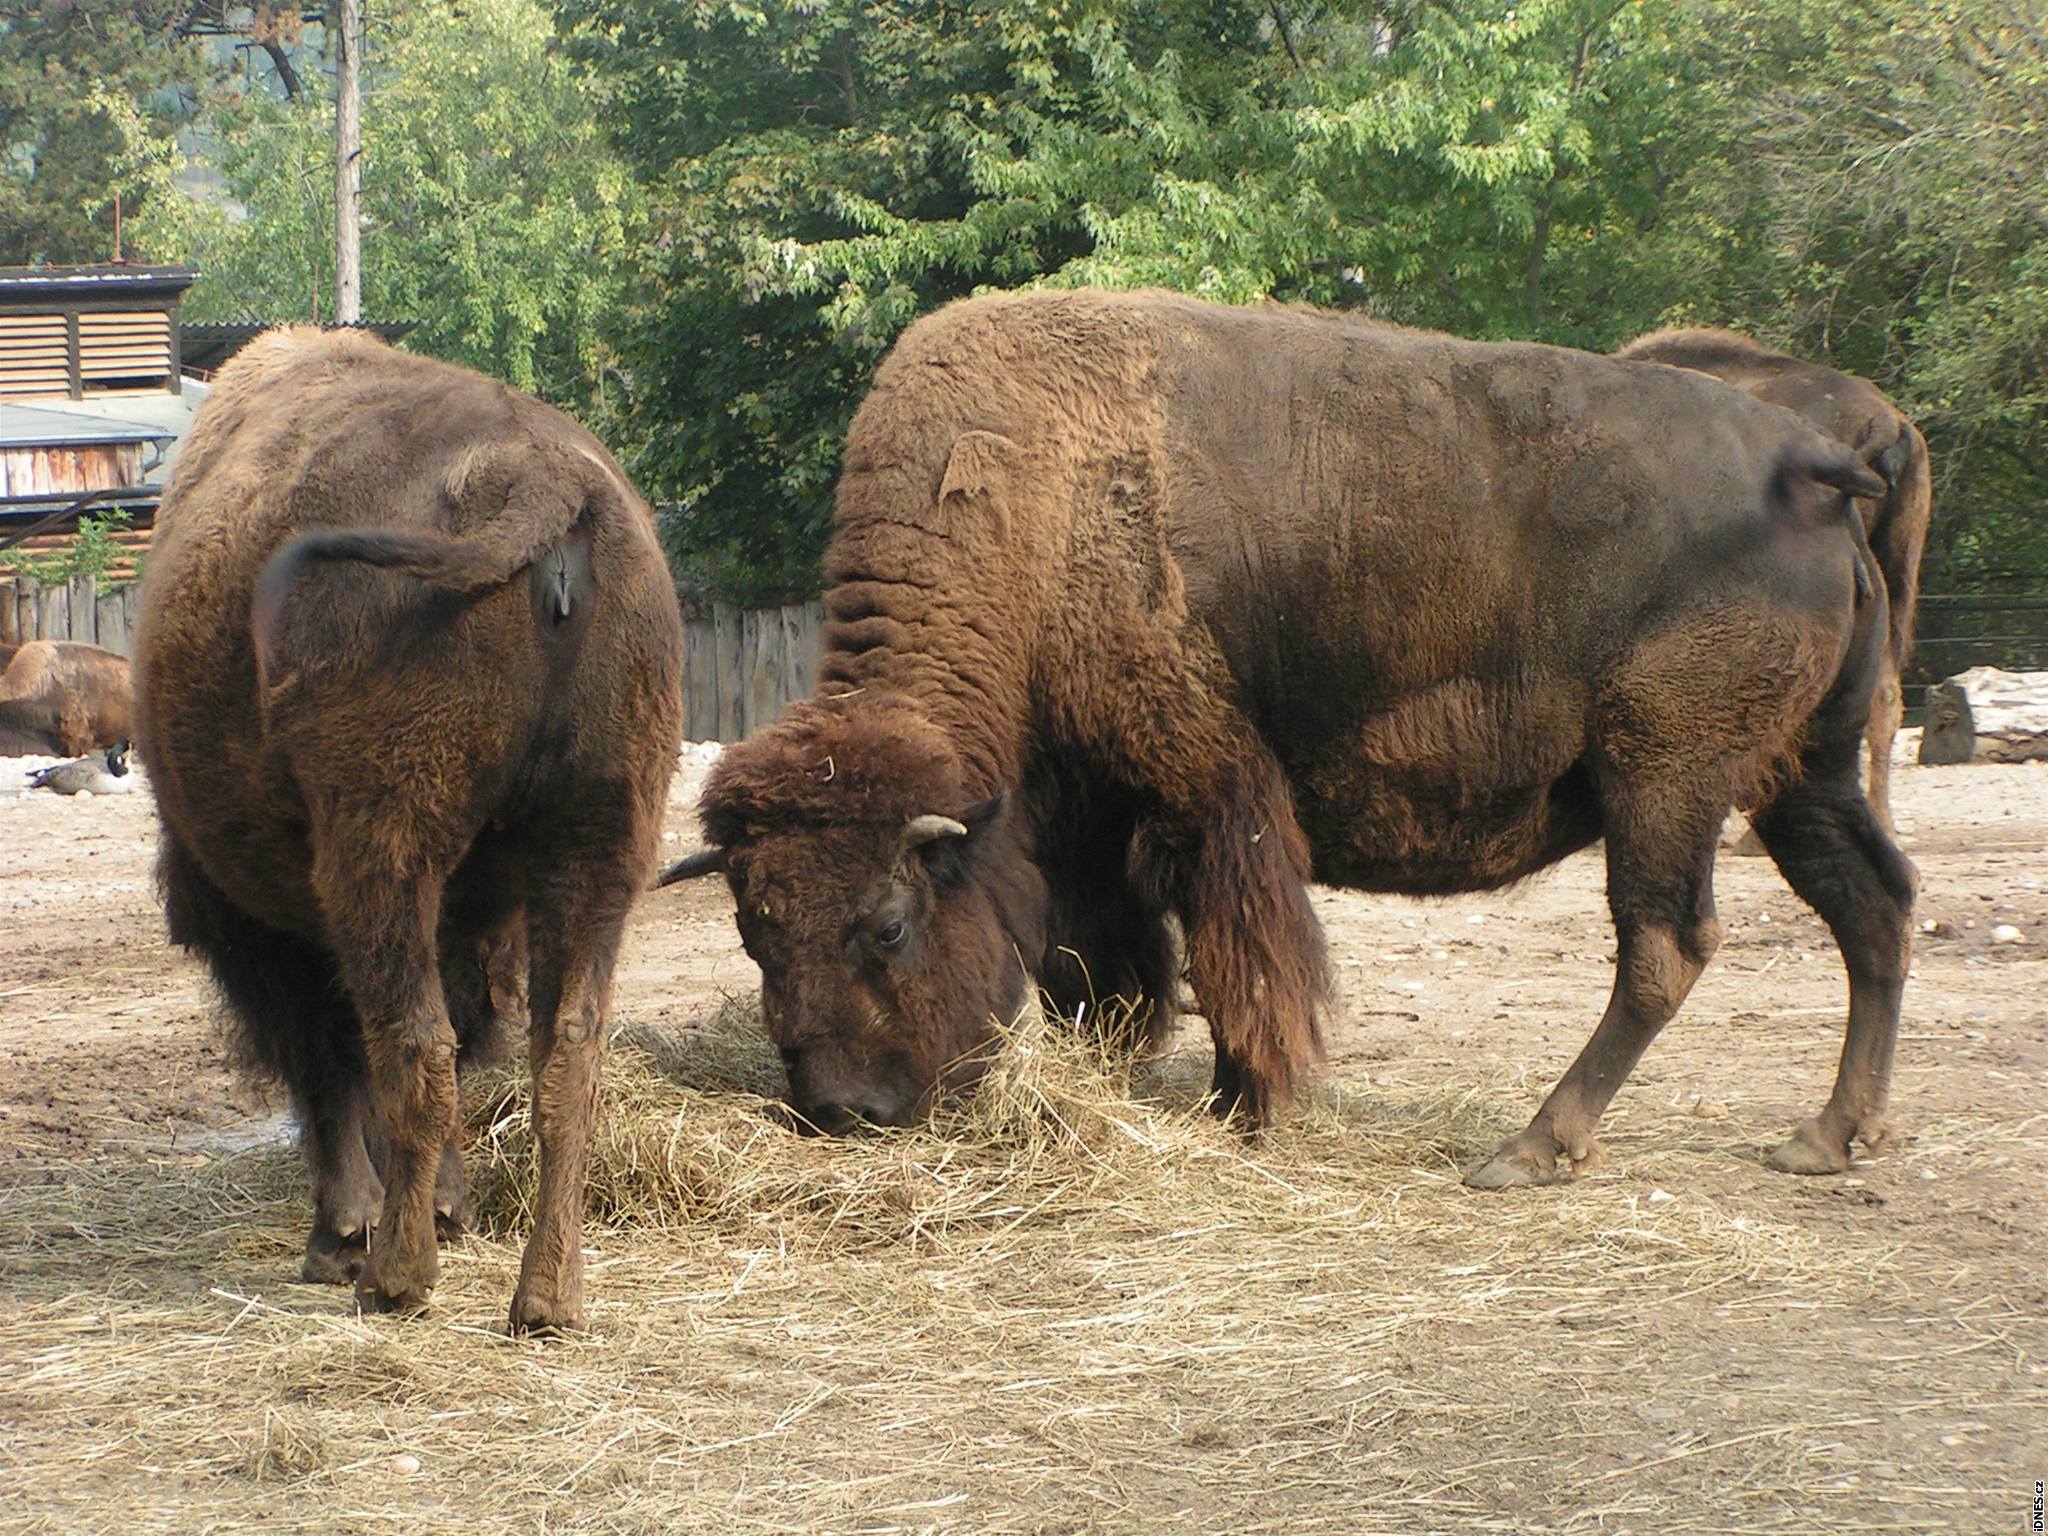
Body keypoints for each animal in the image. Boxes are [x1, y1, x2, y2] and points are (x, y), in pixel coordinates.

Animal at [132, 327, 684, 1335]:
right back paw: (546, 1298)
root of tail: (533, 475)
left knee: (411, 1046)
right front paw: (446, 1209)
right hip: (599, 843)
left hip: (386, 848)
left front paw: (343, 1234)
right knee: (564, 1054)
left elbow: (330, 1061)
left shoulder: (272, 924)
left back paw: (394, 1276)